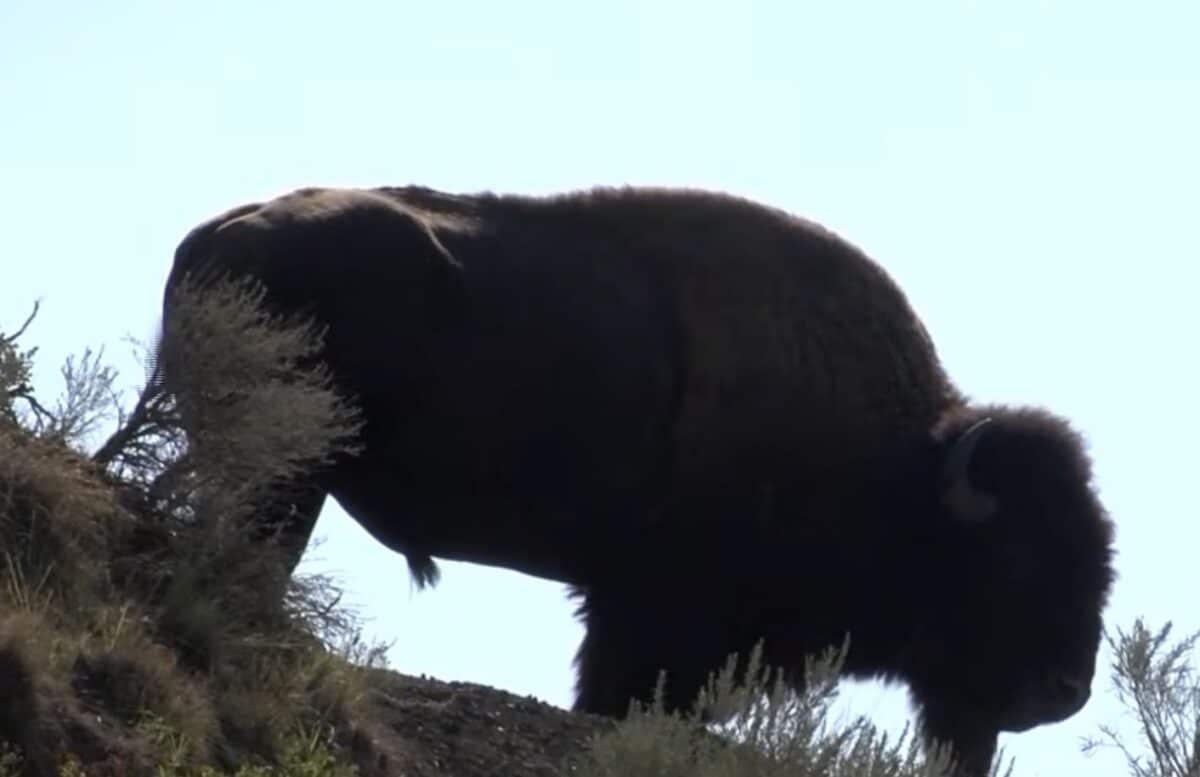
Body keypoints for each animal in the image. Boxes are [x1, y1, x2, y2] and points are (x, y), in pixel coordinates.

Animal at [158, 184, 1115, 775]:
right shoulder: (650, 614)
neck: (897, 468)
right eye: (1014, 559)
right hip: (288, 477)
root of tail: (215, 235)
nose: (1064, 690)